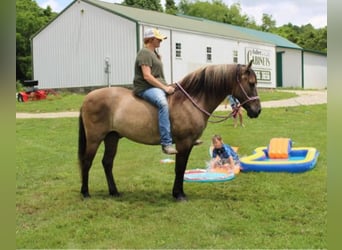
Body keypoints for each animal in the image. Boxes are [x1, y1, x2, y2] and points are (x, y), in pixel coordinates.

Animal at [77, 60, 260, 201]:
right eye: (251, 83)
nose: (257, 110)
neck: (190, 101)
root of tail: (87, 99)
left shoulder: (188, 144)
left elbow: (182, 168)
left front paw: (179, 192)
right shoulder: (183, 143)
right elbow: (179, 168)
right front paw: (179, 195)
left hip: (112, 137)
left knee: (107, 162)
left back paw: (114, 192)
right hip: (94, 139)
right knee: (87, 162)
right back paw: (85, 193)